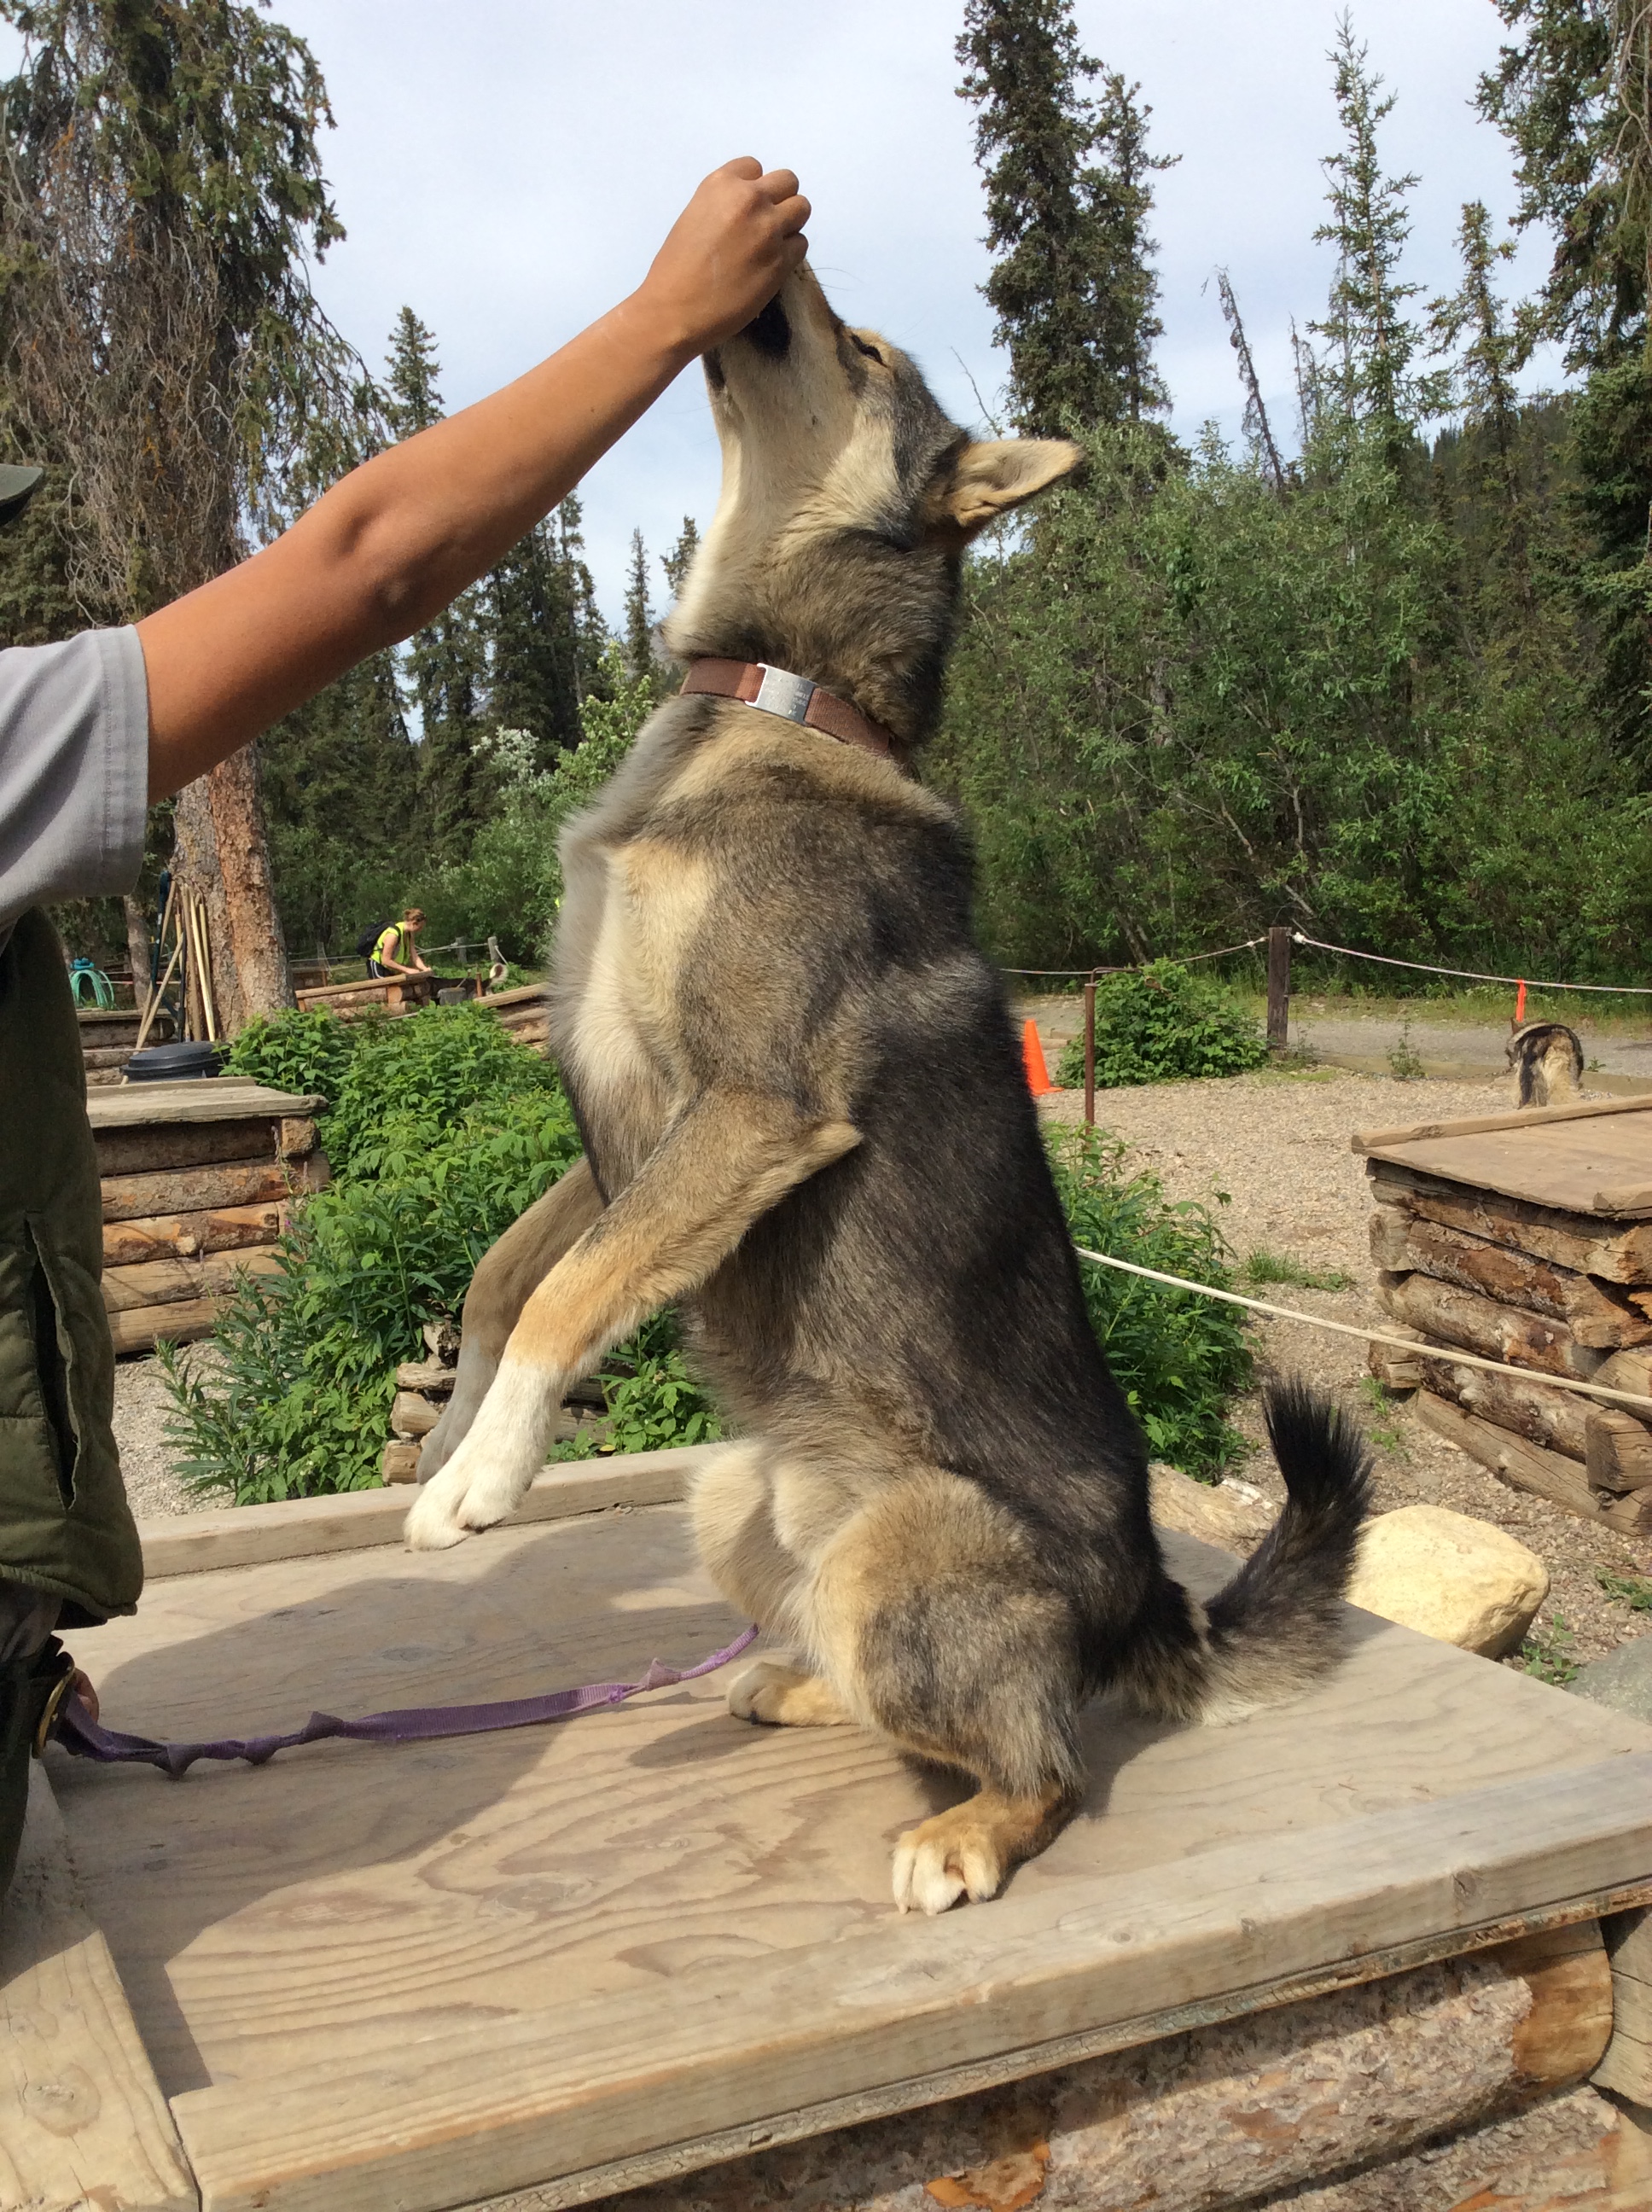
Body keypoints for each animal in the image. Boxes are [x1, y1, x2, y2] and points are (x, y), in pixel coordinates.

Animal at [406, 259, 1380, 1911]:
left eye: (856, 347)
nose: (775, 243)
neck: (780, 702)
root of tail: (1142, 1607)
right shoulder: (627, 1121)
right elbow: (504, 1280)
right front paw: (462, 1432)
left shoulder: (749, 1108)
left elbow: (563, 1295)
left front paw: (482, 1479)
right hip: (728, 1501)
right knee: (865, 1681)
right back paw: (789, 1683)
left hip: (893, 1561)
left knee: (1043, 1765)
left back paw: (965, 1838)